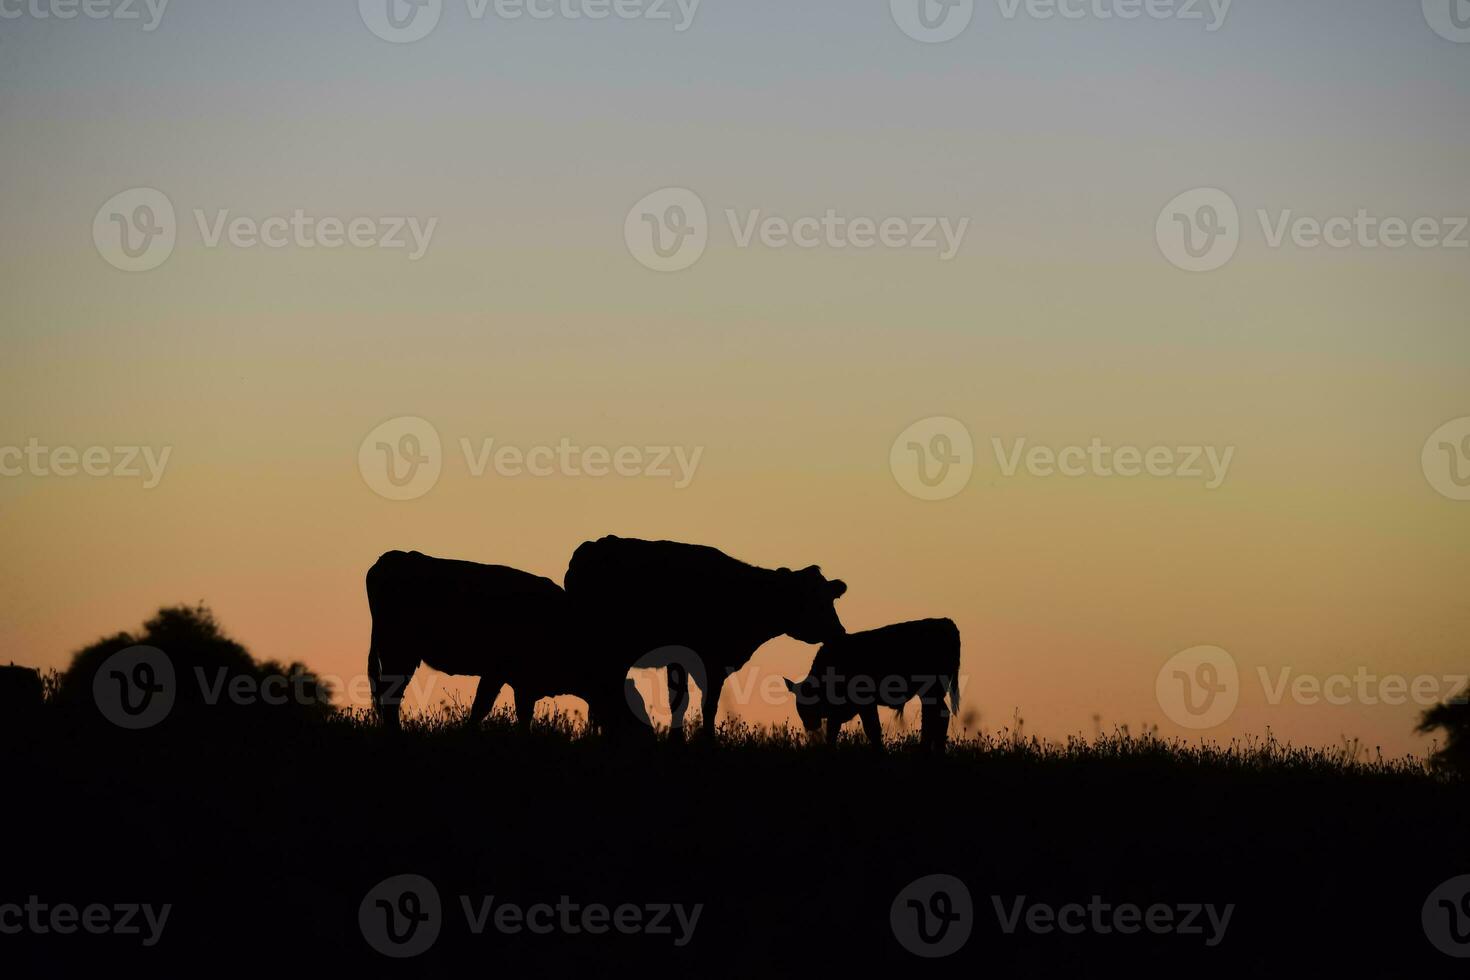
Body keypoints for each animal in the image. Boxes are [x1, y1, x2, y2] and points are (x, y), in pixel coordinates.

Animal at [364, 552, 582, 728]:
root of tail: (391, 558)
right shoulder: (499, 673)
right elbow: (482, 706)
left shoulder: (521, 683)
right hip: (399, 653)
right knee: (390, 695)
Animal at [561, 540, 846, 740]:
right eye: (817, 601)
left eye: (830, 597)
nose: (840, 631)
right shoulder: (707, 659)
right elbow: (701, 703)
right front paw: (705, 741)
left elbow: (685, 701)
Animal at [782, 620, 964, 752]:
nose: (809, 725)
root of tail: (946, 622)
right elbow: (833, 731)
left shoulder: (865, 704)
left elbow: (872, 729)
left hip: (931, 691)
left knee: (936, 716)